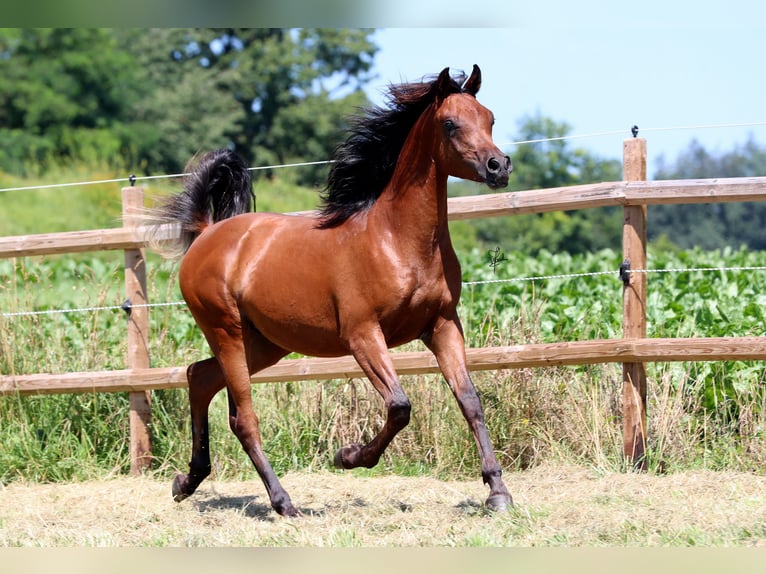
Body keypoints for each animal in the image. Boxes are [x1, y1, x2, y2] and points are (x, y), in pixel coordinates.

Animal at [157, 65, 516, 520]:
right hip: (227, 333)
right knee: (244, 418)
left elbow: (470, 401)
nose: (498, 166)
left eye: (489, 118)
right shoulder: (362, 335)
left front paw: (497, 492)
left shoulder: (442, 326)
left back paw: (186, 482)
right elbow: (400, 406)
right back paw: (283, 503)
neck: (397, 240)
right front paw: (347, 456)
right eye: (450, 123)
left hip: (266, 344)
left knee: (199, 377)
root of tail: (206, 233)